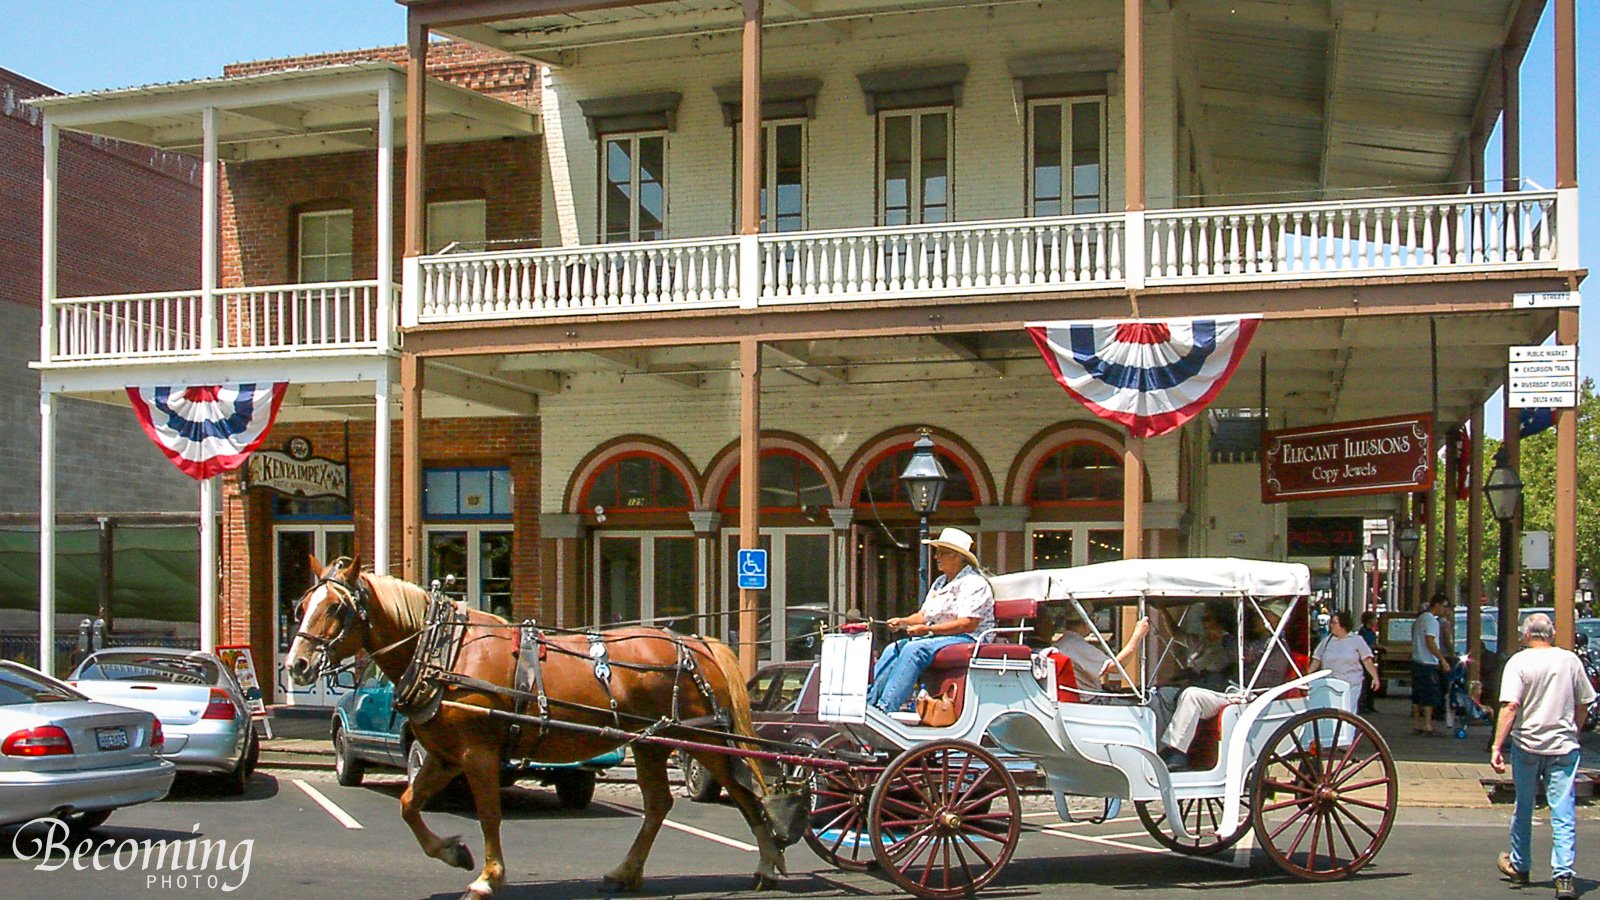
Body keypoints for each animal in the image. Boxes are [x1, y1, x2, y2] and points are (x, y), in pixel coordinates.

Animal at [283, 554, 806, 896]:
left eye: (337, 609)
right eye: (302, 607)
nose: (297, 666)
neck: (445, 653)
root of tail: (696, 643)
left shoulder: (477, 753)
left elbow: (488, 814)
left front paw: (488, 877)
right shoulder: (444, 756)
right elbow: (410, 805)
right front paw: (454, 852)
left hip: (702, 739)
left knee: (745, 795)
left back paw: (768, 863)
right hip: (651, 743)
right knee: (660, 804)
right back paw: (628, 871)